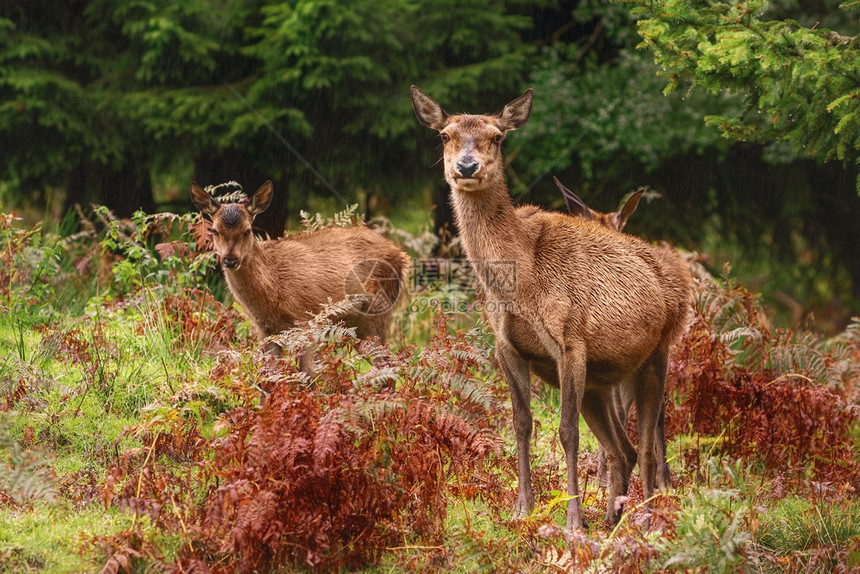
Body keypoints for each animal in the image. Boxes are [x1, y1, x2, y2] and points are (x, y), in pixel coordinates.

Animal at [190, 182, 412, 364]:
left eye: (247, 230)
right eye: (215, 231)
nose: (230, 259)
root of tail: (402, 256)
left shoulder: (305, 320)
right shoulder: (265, 330)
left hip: (377, 310)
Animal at [412, 85, 692, 532]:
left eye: (497, 136)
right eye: (445, 135)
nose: (467, 166)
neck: (519, 278)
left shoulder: (570, 341)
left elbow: (566, 433)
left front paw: (573, 521)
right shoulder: (507, 346)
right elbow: (522, 425)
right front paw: (522, 509)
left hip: (656, 354)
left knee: (648, 449)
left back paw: (647, 521)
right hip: (602, 379)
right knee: (623, 449)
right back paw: (613, 519)